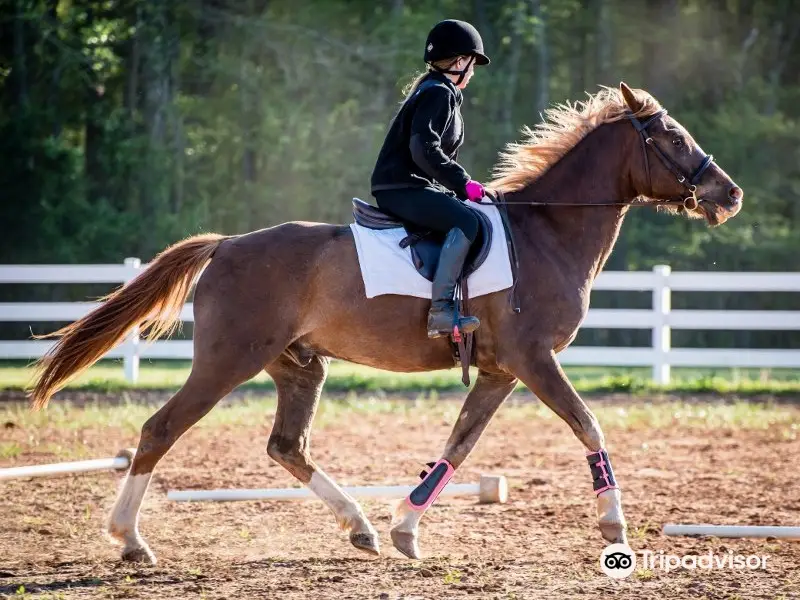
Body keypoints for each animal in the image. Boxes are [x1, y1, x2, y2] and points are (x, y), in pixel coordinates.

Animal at [29, 83, 744, 564]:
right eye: (673, 138)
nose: (730, 195)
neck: (547, 232)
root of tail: (227, 244)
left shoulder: (499, 371)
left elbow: (460, 444)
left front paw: (404, 527)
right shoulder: (534, 360)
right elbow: (588, 424)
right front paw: (614, 527)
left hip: (299, 366)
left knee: (286, 446)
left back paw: (361, 528)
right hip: (226, 362)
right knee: (160, 430)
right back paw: (130, 541)